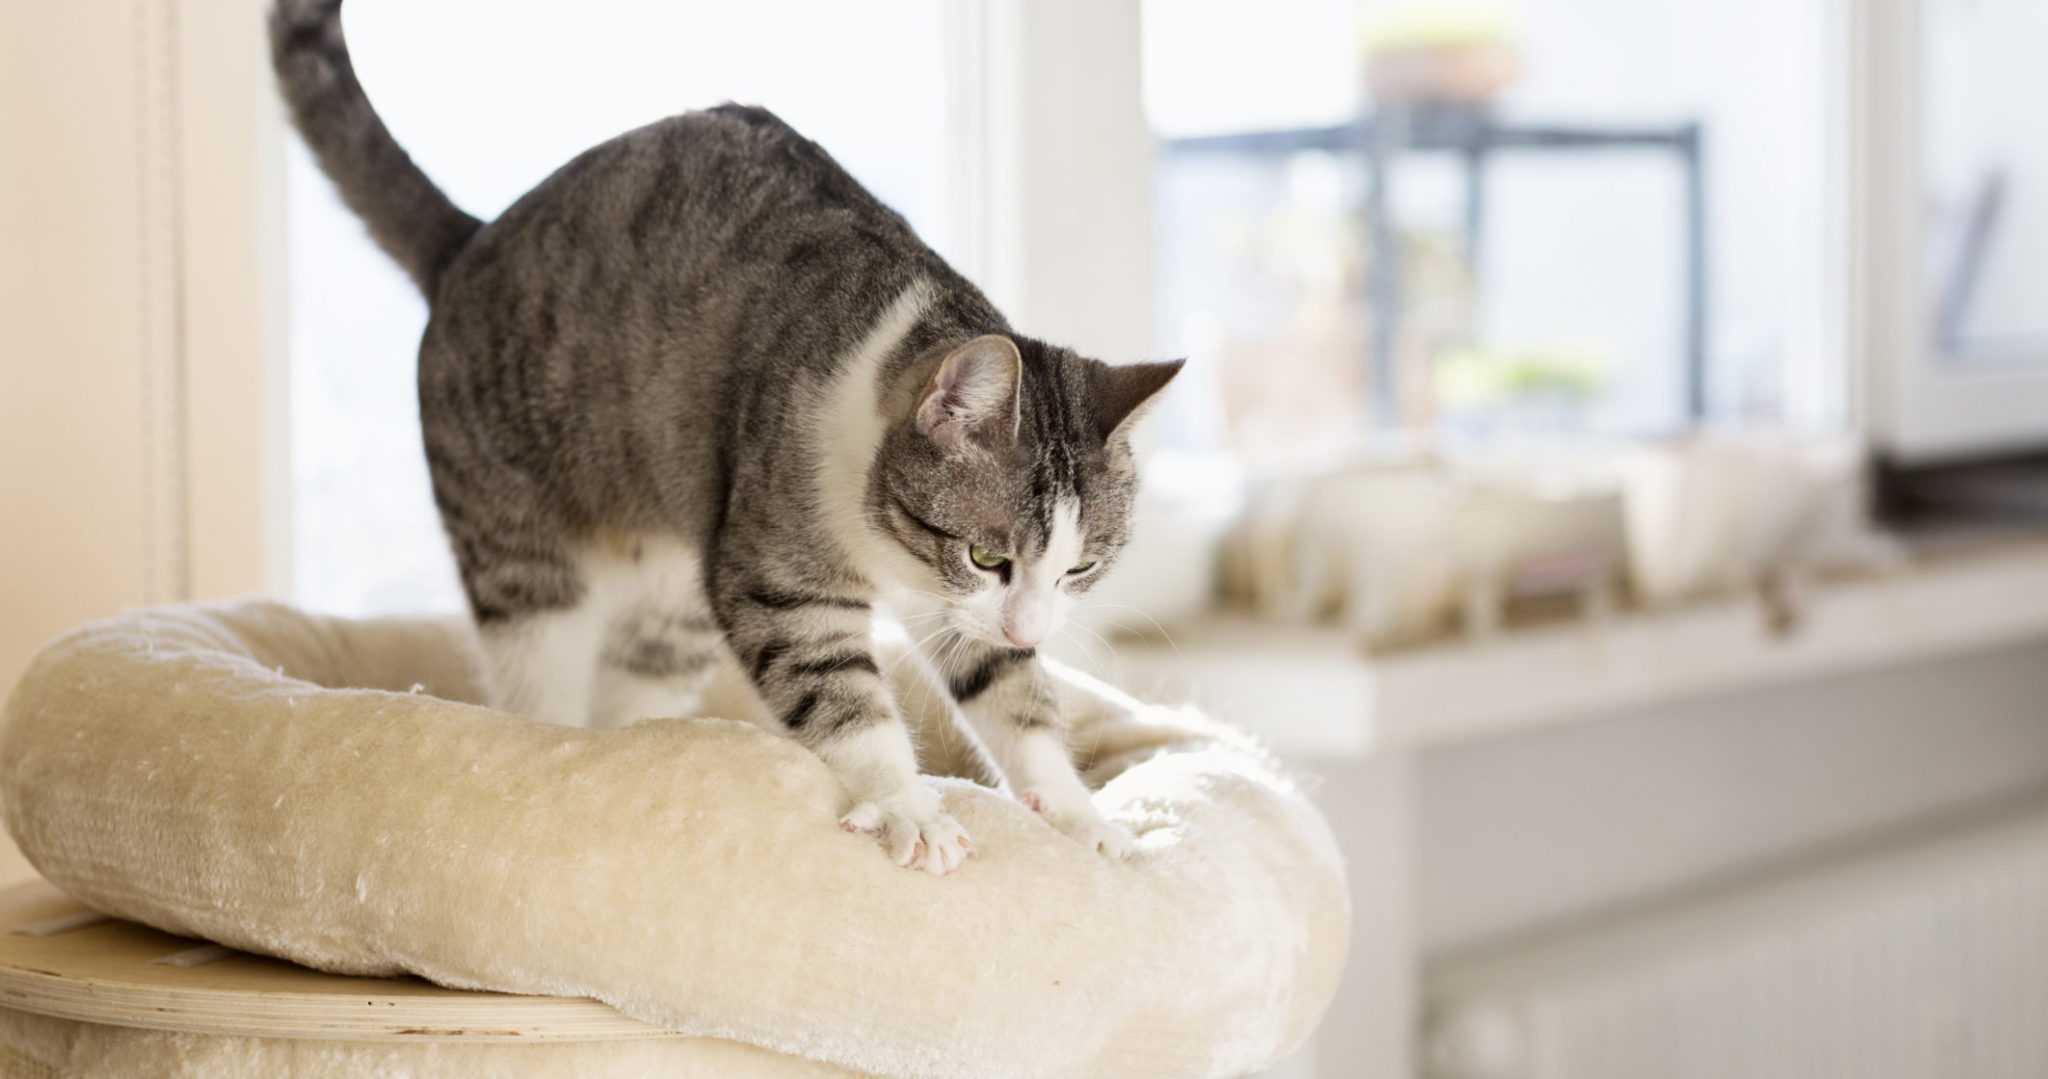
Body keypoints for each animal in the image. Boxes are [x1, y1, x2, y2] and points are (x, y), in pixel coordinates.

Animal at [268, 2, 1187, 876]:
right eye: (988, 555)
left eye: (1081, 567)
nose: (1034, 627)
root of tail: (470, 240)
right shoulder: (776, 565)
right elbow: (840, 690)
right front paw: (907, 805)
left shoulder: (957, 610)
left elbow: (1010, 690)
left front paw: (1080, 817)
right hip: (520, 550)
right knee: (538, 673)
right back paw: (556, 745)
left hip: (671, 599)